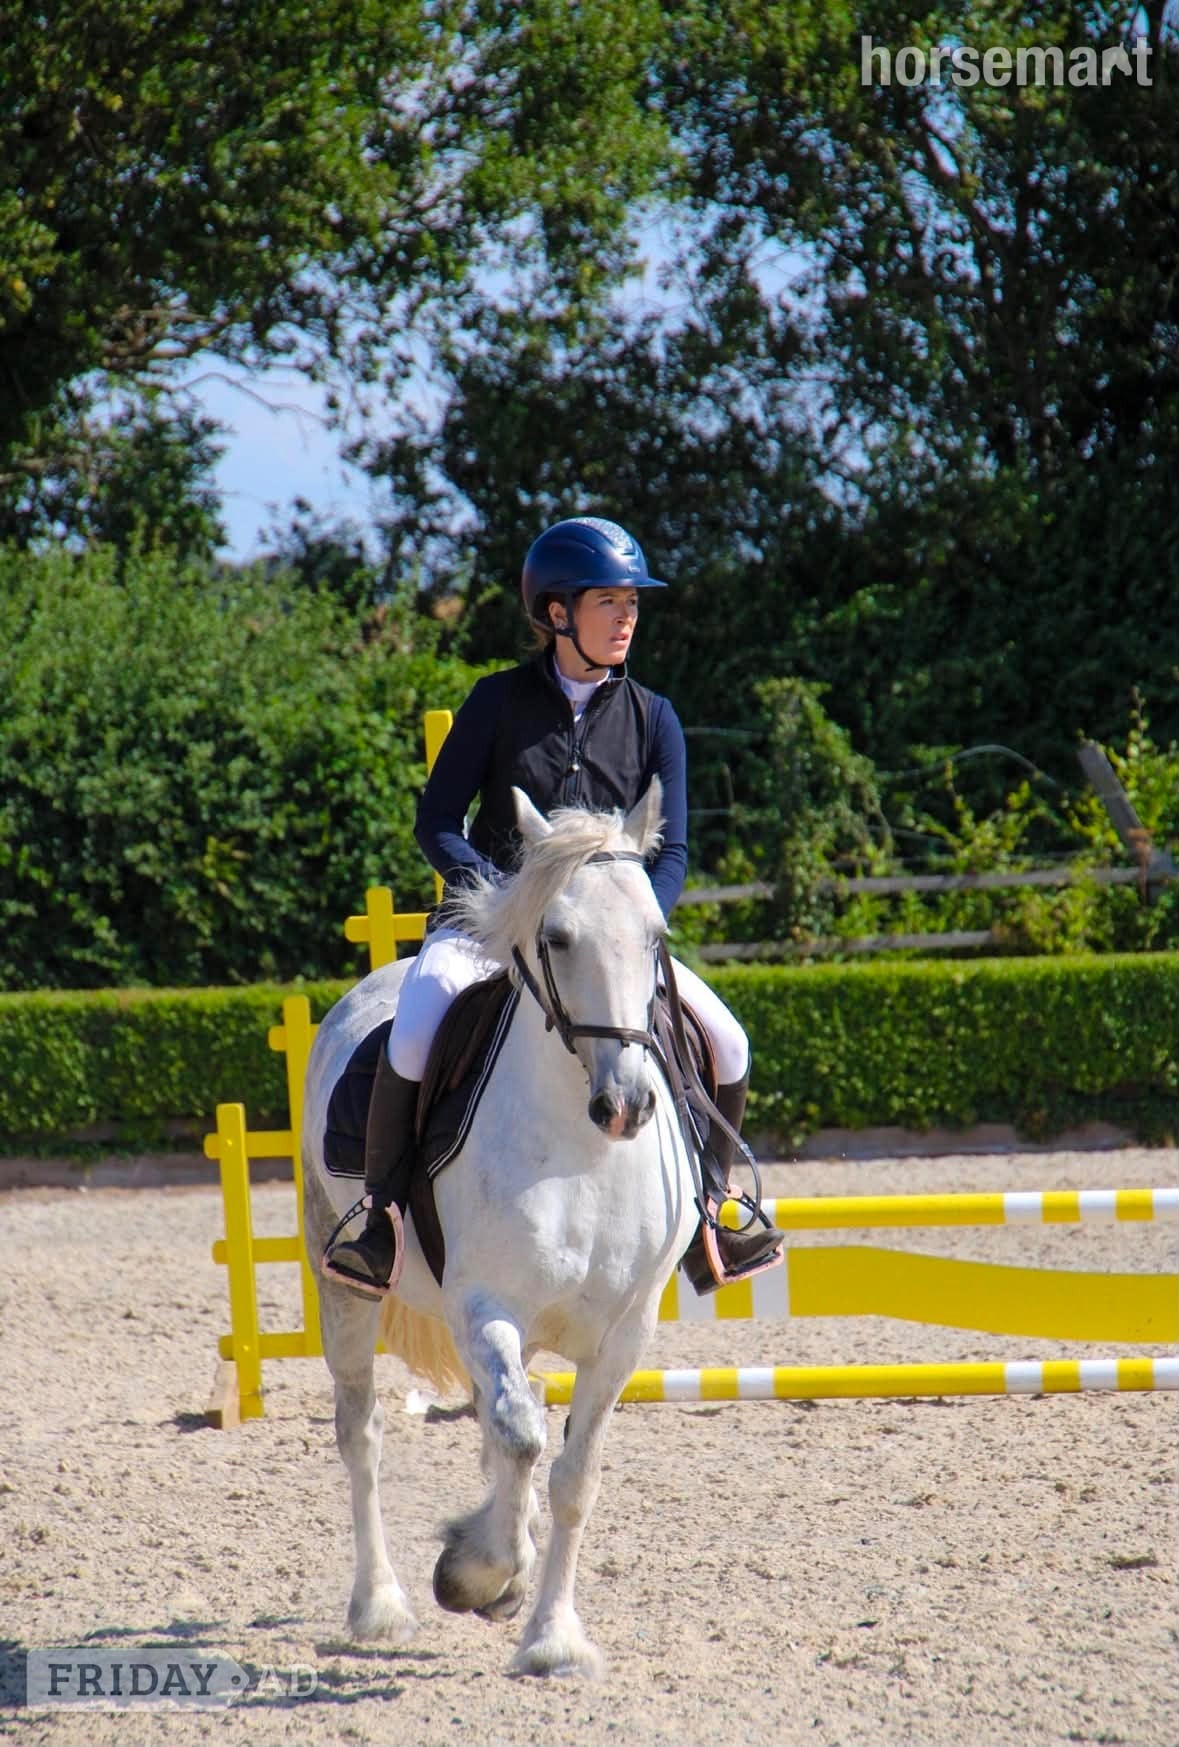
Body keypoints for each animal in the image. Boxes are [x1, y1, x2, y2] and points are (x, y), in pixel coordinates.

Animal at [301, 780, 698, 1677]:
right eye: (556, 936)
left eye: (655, 936)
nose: (625, 1104)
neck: (581, 1151)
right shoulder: (484, 1308)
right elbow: (521, 1440)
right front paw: (476, 1572)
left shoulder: (624, 1334)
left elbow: (573, 1474)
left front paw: (549, 1635)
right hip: (343, 1284)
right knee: (363, 1432)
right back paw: (379, 1605)